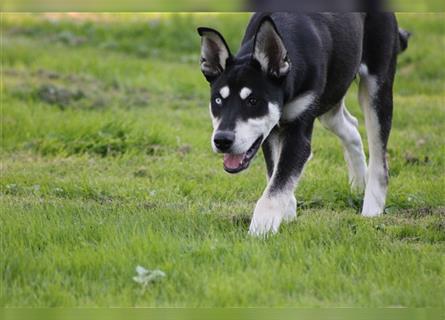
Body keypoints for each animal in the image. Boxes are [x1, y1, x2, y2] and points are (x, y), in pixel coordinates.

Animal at [198, 12, 410, 235]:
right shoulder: (270, 131)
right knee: (351, 126)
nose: (222, 140)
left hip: (376, 87)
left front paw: (261, 228)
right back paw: (359, 183)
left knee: (379, 157)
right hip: (331, 100)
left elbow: (279, 182)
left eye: (253, 101)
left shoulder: (298, 132)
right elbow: (276, 173)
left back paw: (371, 208)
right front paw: (288, 213)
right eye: (218, 100)